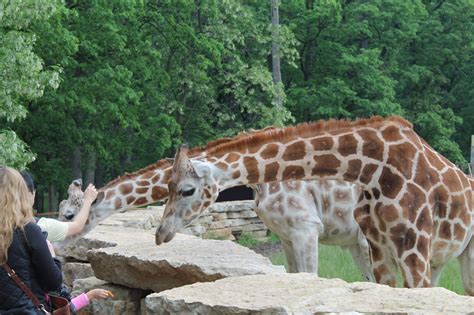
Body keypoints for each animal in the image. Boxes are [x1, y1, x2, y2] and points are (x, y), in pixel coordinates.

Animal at [158, 115, 474, 294]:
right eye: (168, 187)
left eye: (187, 190)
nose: (160, 234)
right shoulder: (289, 237)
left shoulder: (307, 227)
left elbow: (311, 276)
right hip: (428, 257)